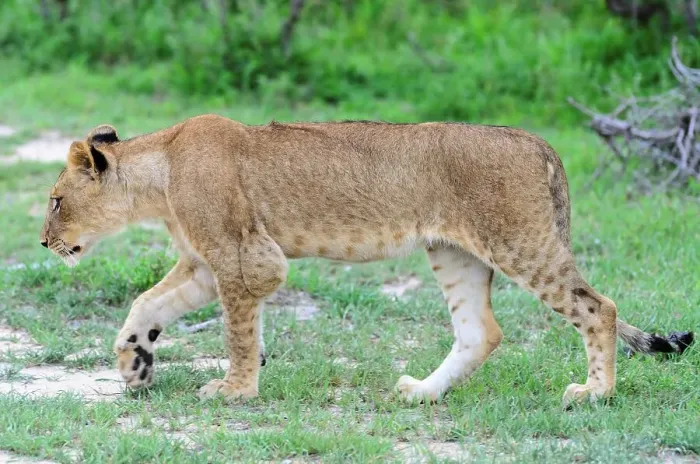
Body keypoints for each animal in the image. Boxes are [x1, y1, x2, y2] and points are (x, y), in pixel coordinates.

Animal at [39, 115, 693, 406]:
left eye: (55, 200)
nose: (44, 243)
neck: (159, 176)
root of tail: (540, 143)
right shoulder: (206, 264)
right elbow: (147, 304)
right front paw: (135, 364)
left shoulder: (247, 259)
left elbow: (238, 333)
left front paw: (236, 390)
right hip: (454, 253)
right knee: (480, 332)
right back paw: (421, 393)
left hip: (522, 244)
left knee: (598, 307)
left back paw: (595, 392)